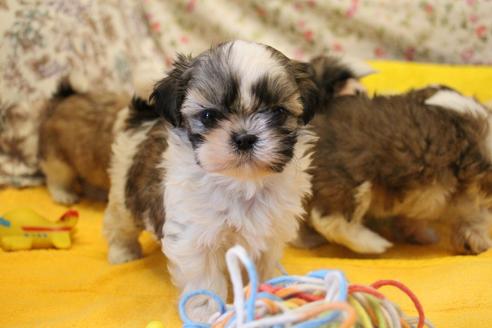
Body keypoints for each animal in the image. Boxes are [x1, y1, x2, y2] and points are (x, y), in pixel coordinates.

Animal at [103, 39, 320, 320]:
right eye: (209, 116)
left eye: (278, 112)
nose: (245, 137)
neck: (241, 183)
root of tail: (142, 120)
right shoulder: (195, 238)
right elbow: (204, 279)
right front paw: (206, 312)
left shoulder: (270, 235)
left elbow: (262, 267)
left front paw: (265, 299)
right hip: (124, 189)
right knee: (121, 222)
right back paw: (123, 252)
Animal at [300, 84, 492, 254]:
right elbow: (476, 214)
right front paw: (476, 239)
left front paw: (416, 232)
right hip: (351, 180)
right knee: (330, 219)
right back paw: (372, 243)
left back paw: (308, 239)